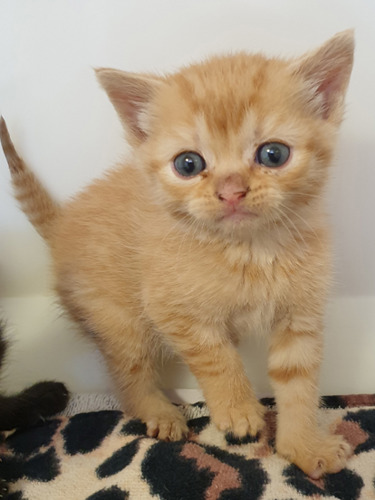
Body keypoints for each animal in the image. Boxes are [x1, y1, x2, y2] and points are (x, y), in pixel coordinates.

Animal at [0, 30, 354, 476]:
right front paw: (238, 410)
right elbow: (216, 358)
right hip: (120, 320)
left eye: (273, 154)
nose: (231, 190)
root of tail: (63, 226)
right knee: (126, 373)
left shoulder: (300, 317)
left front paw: (303, 446)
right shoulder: (170, 308)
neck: (250, 250)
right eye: (188, 164)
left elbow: (299, 383)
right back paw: (159, 411)